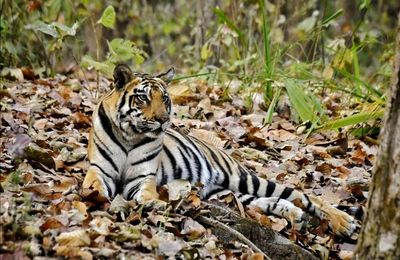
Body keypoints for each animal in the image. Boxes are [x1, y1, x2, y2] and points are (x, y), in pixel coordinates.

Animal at [83, 64, 358, 237]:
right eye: (143, 98)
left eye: (165, 99)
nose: (163, 120)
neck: (130, 135)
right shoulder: (99, 170)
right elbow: (94, 187)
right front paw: (96, 202)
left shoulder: (142, 179)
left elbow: (147, 194)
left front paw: (156, 204)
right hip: (226, 191)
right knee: (267, 202)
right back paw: (294, 215)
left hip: (245, 178)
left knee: (305, 196)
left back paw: (345, 223)